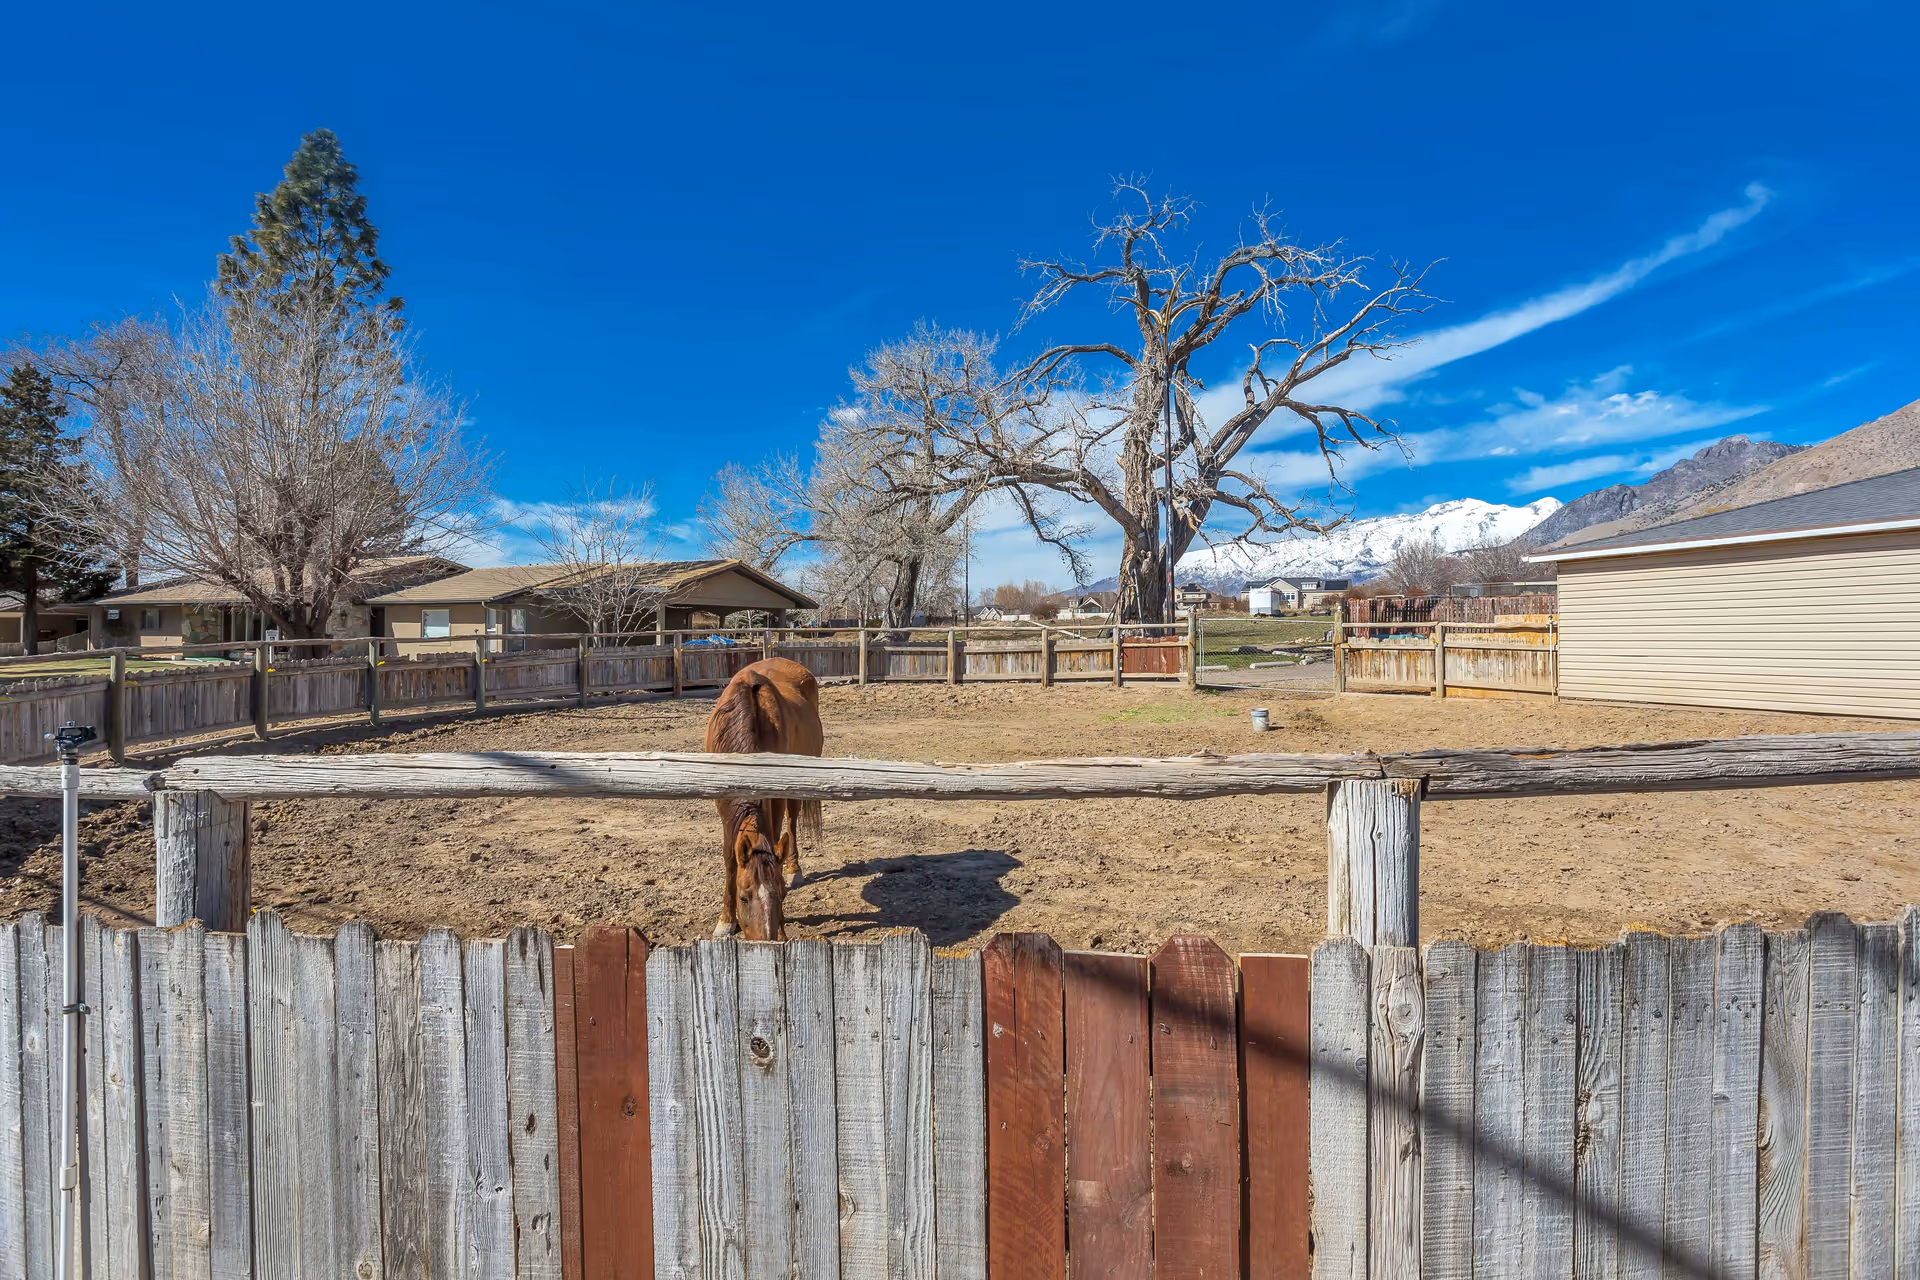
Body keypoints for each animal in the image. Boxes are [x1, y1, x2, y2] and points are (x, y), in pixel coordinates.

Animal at [704, 656, 825, 941]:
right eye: (744, 897)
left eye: (780, 895)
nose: (767, 940)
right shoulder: (723, 804)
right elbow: (730, 857)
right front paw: (726, 920)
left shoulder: (774, 796)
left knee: (792, 822)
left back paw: (794, 869)